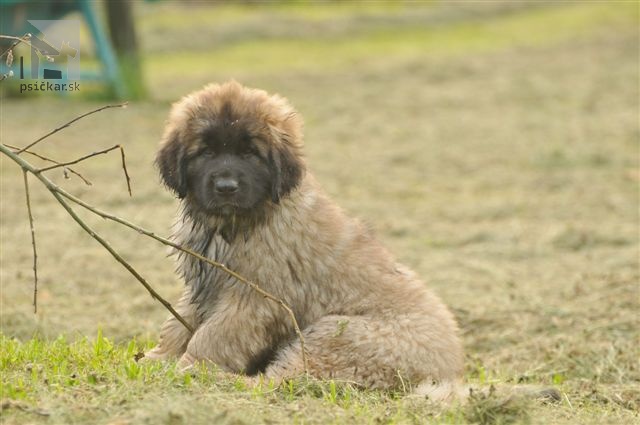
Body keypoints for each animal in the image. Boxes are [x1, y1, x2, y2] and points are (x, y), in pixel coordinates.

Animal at [144, 80, 462, 398]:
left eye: (250, 153)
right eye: (206, 152)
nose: (226, 187)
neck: (236, 222)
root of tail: (446, 374)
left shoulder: (253, 299)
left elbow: (212, 336)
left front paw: (190, 366)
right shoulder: (203, 284)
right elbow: (177, 324)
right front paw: (157, 359)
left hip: (335, 334)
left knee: (281, 379)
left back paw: (222, 379)